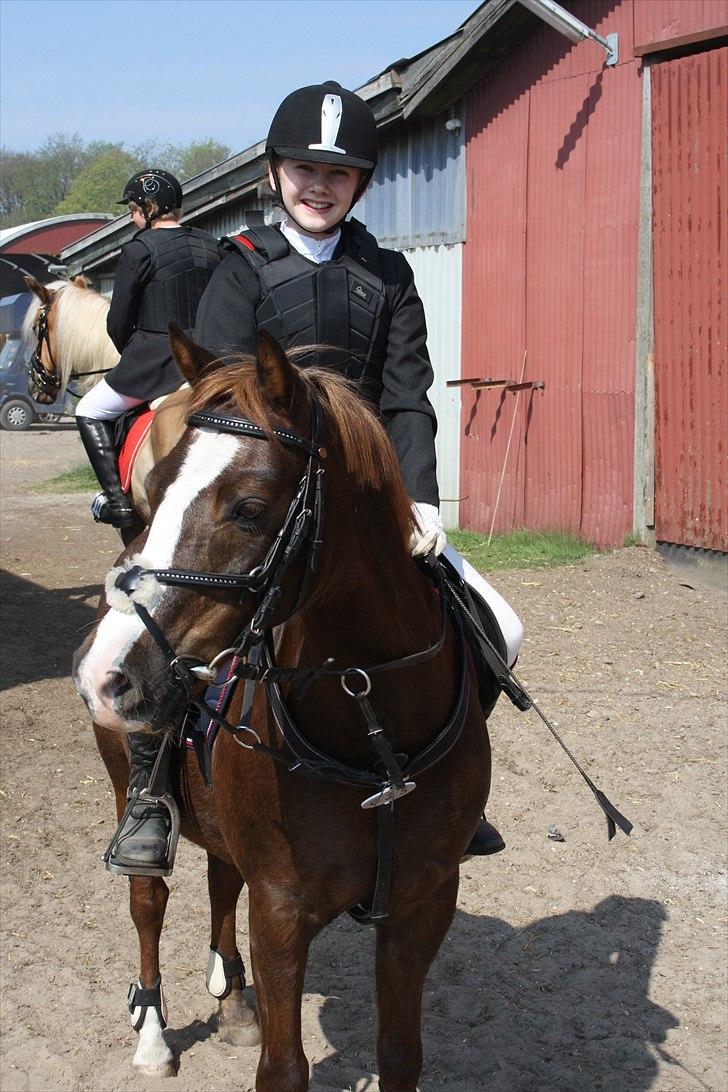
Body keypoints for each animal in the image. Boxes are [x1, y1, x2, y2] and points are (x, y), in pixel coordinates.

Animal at [72, 327, 495, 1087]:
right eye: (154, 490)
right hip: (127, 786)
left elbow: (401, 1055)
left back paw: (233, 999)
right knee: (149, 902)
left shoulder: (421, 905)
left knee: (220, 877)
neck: (372, 731)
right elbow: (283, 1067)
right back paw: (152, 1034)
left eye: (247, 506)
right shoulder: (282, 911)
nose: (102, 674)